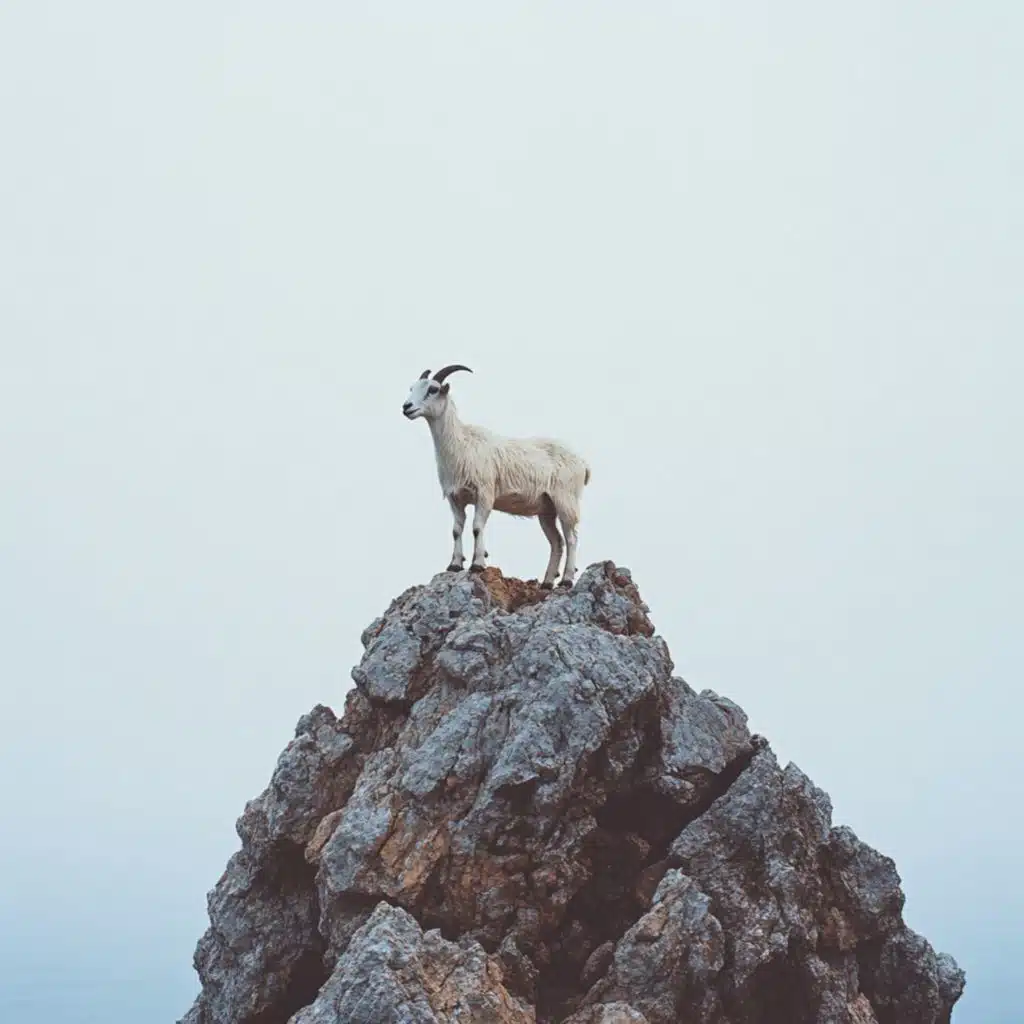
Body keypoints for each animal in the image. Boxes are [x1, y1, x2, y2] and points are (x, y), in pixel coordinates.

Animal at [402, 365, 591, 588]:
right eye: (412, 388)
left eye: (433, 389)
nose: (406, 407)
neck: (461, 444)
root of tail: (583, 464)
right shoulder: (455, 498)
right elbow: (456, 530)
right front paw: (455, 565)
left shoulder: (485, 493)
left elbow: (476, 527)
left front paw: (477, 564)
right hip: (546, 509)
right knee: (557, 542)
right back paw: (547, 582)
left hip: (566, 500)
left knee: (571, 539)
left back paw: (567, 580)